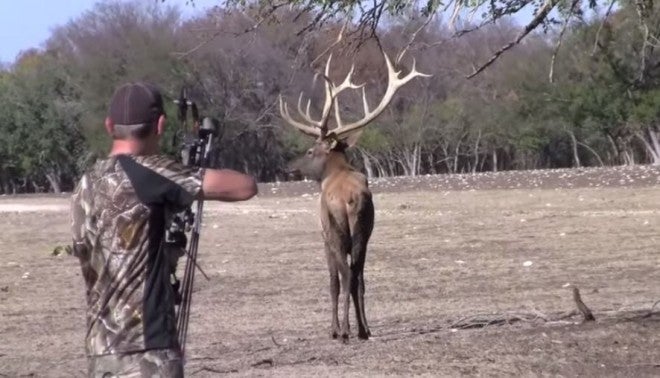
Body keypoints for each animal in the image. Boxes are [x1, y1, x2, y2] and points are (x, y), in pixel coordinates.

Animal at [278, 48, 428, 342]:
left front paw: (334, 329)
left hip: (335, 231)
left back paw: (345, 331)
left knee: (346, 275)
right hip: (363, 232)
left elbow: (333, 282)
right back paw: (363, 329)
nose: (289, 167)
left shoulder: (324, 238)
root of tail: (349, 199)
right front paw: (360, 327)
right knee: (359, 275)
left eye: (310, 151)